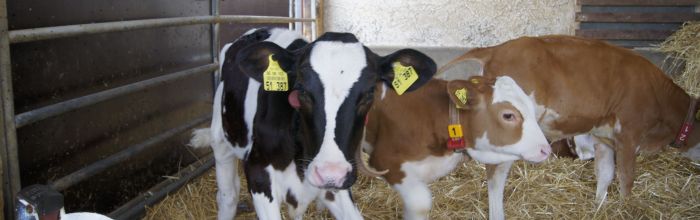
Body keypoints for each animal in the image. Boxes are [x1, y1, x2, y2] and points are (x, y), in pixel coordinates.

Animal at [189, 28, 434, 219]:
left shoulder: (337, 184)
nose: (330, 173)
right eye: (302, 91)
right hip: (221, 136)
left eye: (369, 94)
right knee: (228, 195)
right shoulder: (259, 172)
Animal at [440, 34, 700, 205]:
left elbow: (605, 174)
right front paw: (626, 208)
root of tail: (497, 49)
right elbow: (627, 179)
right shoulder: (629, 134)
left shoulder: (604, 137)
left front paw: (600, 207)